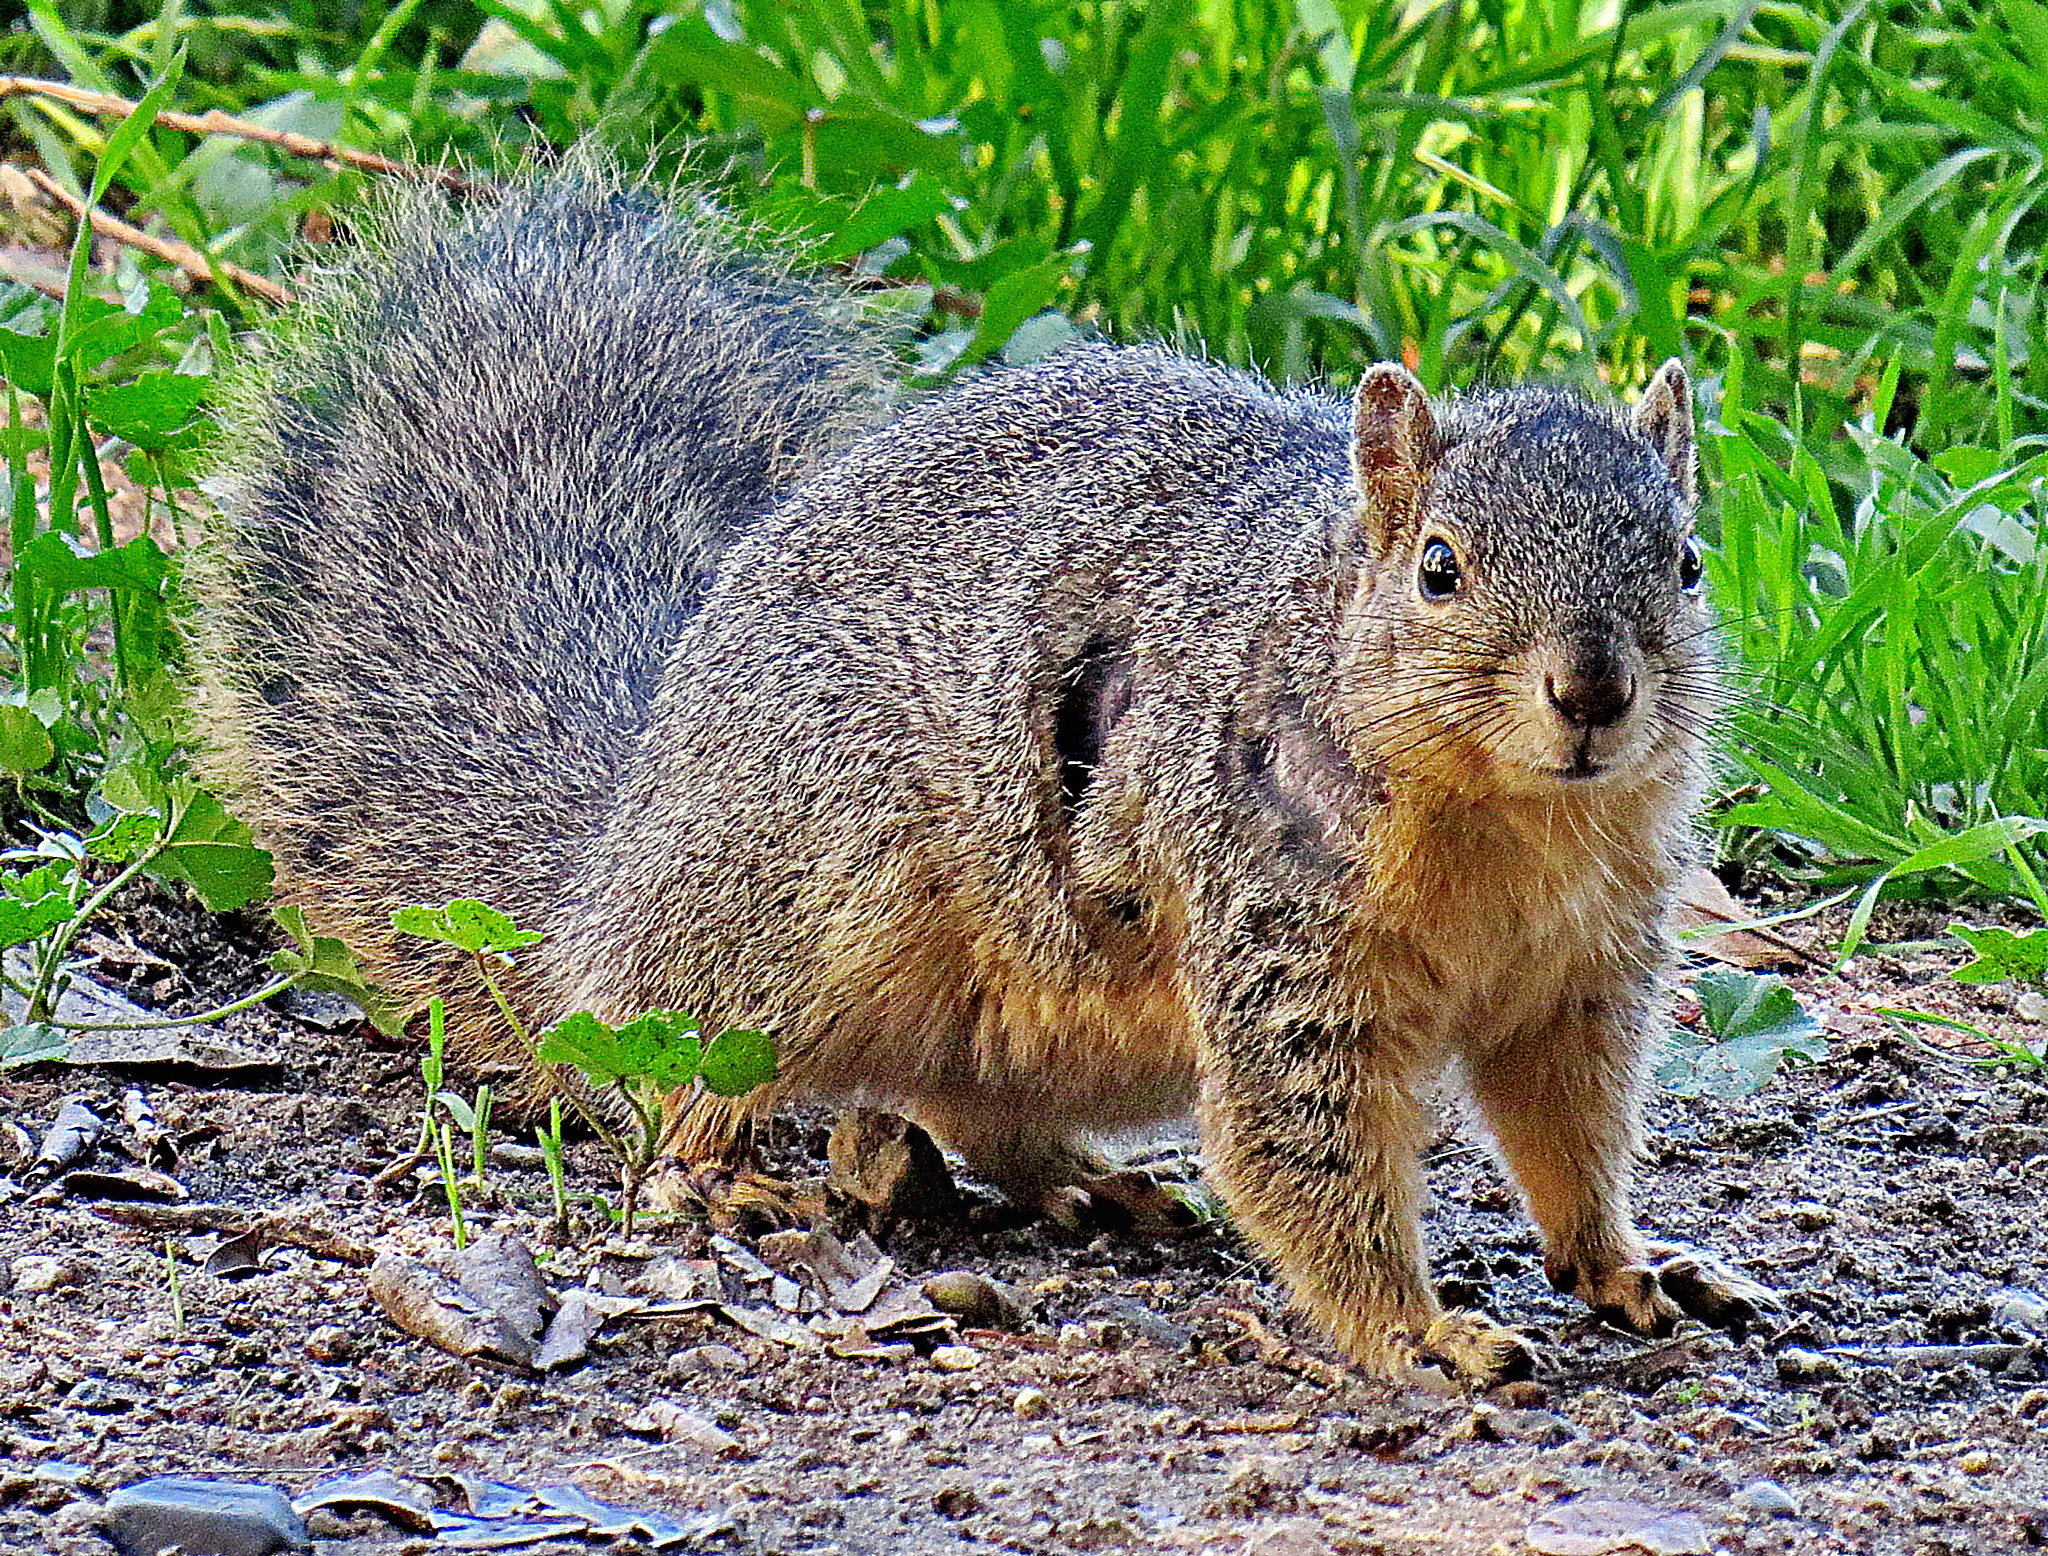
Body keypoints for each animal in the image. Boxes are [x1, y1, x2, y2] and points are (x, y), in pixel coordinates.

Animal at [199, 169, 1785, 1384]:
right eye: (1441, 569)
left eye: (1688, 562)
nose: (1592, 691)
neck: (1515, 824)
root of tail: (614, 869)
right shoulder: (1276, 935)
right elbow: (1305, 1155)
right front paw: (1418, 1332)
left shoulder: (1584, 971)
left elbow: (1571, 1128)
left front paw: (1626, 1264)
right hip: (800, 899)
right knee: (660, 1066)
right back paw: (732, 1170)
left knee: (968, 1102)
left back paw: (1083, 1180)